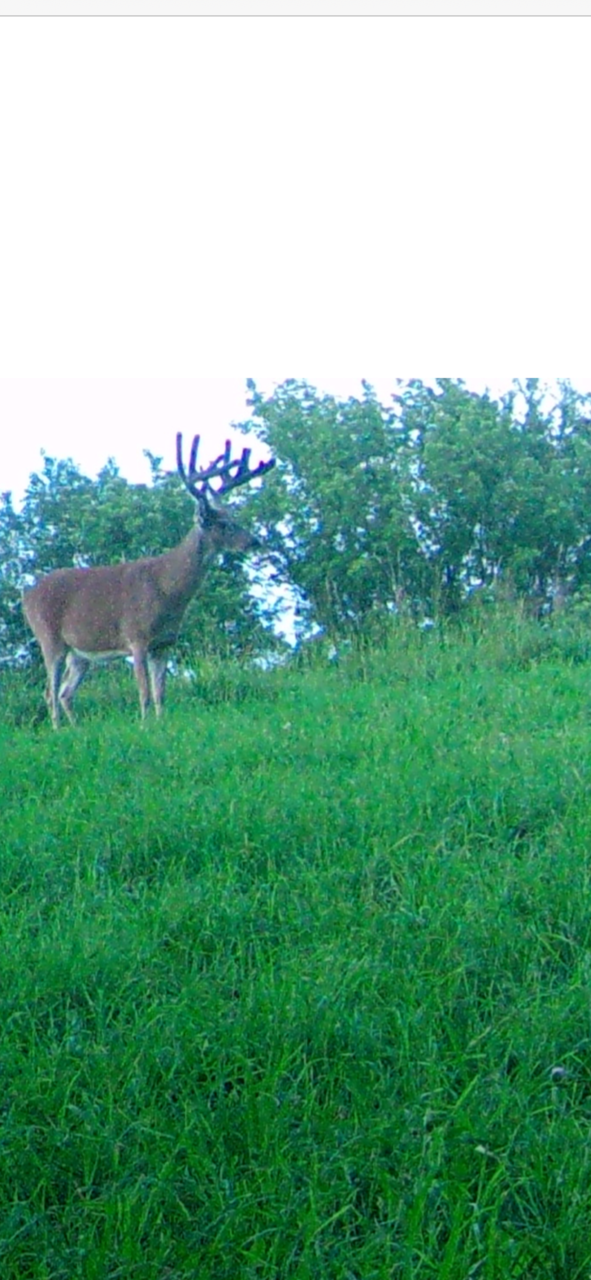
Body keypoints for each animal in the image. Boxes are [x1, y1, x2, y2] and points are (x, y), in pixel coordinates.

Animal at [22, 433, 275, 727]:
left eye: (233, 516)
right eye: (223, 524)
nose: (254, 541)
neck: (168, 589)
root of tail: (26, 595)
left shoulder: (164, 643)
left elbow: (160, 693)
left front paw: (161, 724)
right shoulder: (137, 636)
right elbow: (143, 691)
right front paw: (144, 726)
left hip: (80, 653)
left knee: (65, 692)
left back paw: (76, 730)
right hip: (49, 638)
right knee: (50, 692)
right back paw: (58, 730)